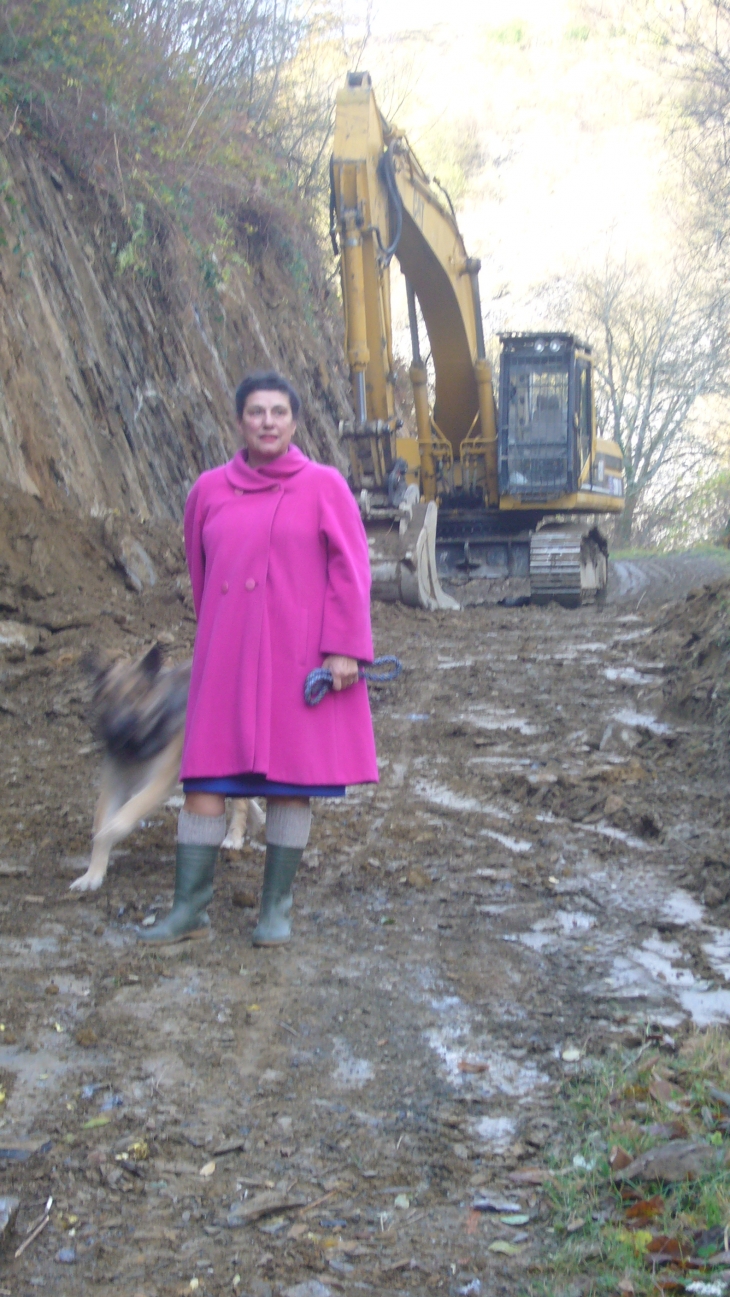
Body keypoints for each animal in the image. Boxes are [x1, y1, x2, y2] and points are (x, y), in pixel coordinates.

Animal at [70, 645, 264, 892]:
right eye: (106, 697)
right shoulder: (114, 787)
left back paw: (234, 836)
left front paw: (112, 830)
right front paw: (93, 873)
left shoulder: (157, 784)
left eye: (137, 695)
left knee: (240, 802)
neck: (138, 744)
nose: (116, 732)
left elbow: (121, 818)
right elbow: (103, 824)